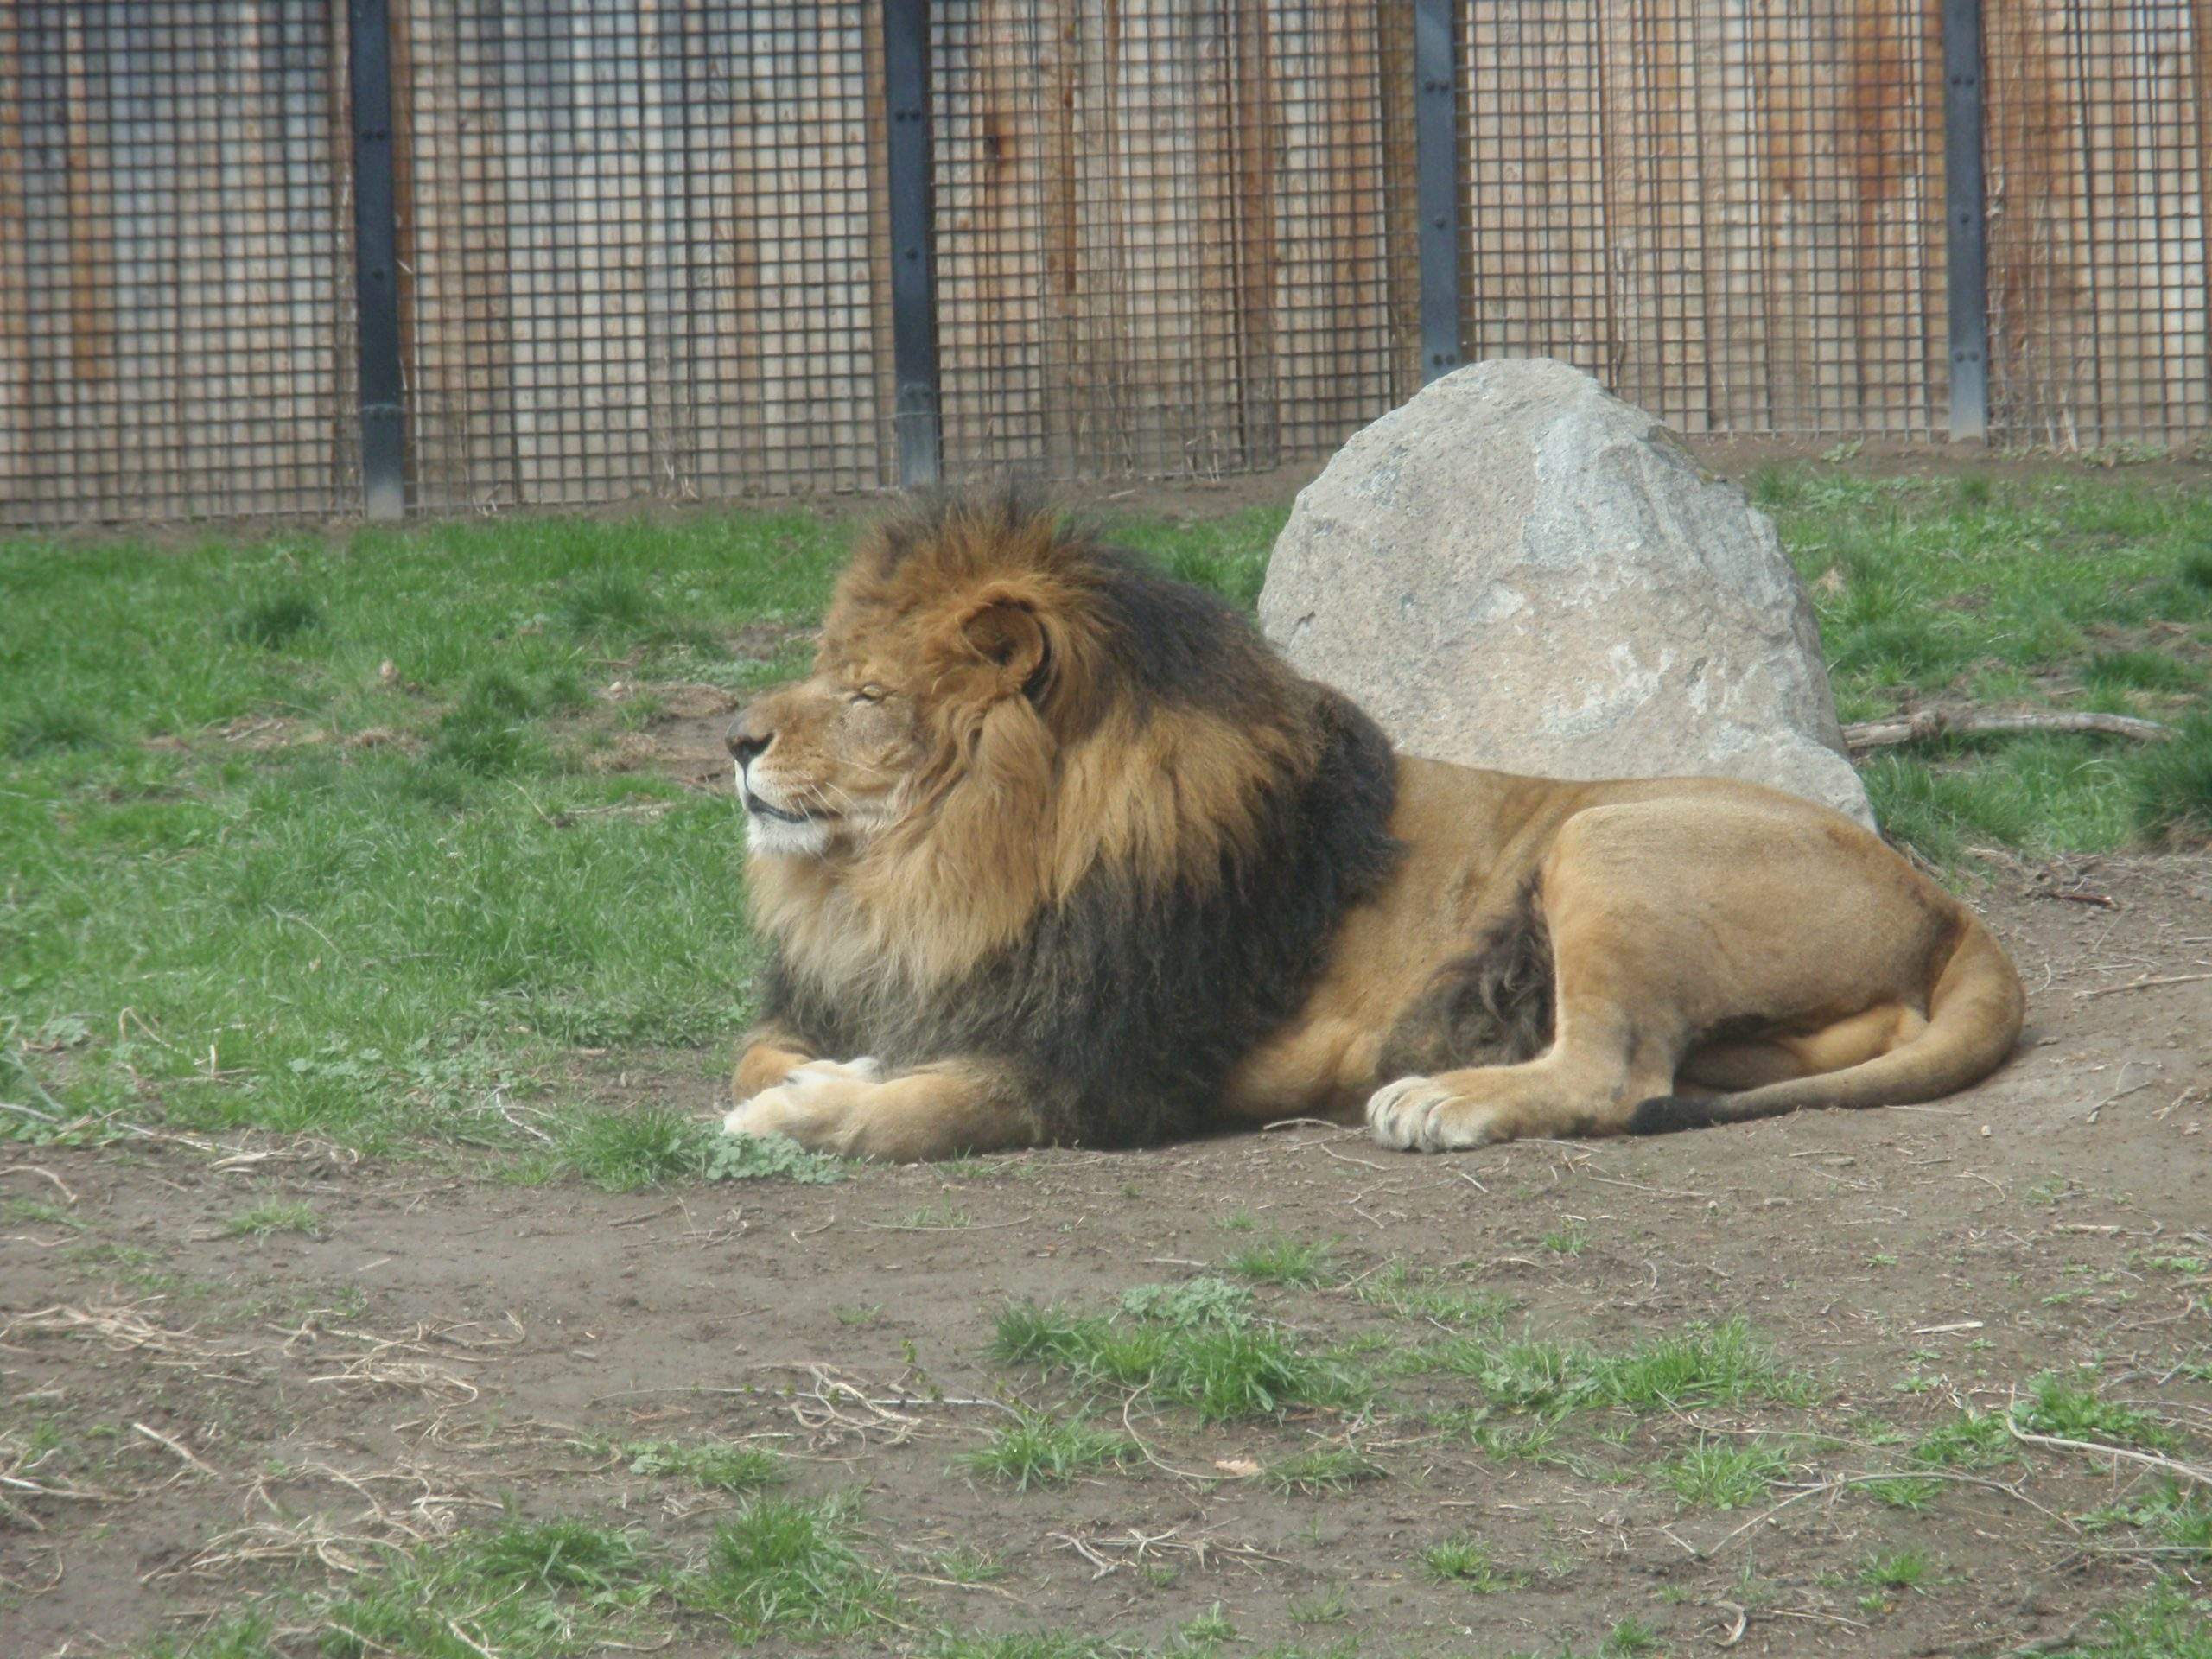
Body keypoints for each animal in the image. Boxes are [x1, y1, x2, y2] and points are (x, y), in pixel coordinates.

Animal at [721, 491, 2024, 1161]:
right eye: (824, 668)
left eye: (865, 697)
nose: (734, 739)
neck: (928, 872)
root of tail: (1941, 900)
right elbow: (773, 1048)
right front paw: (817, 1070)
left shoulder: (1119, 1068)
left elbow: (921, 1107)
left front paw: (805, 1111)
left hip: (1605, 841)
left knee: (1613, 1072)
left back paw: (1444, 1100)